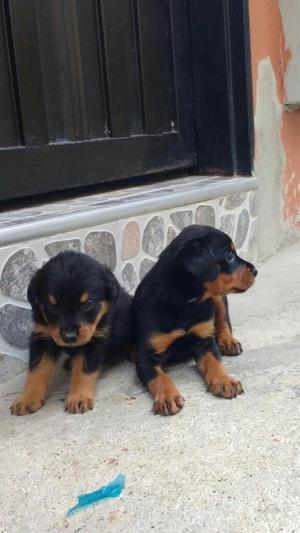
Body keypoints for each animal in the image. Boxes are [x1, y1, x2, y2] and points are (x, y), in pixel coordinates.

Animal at [10, 250, 131, 416]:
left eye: (88, 304)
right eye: (52, 306)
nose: (69, 337)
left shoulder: (94, 341)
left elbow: (83, 372)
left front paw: (78, 398)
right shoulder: (42, 337)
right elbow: (36, 371)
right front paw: (27, 399)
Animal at [133, 224, 258, 416]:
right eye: (229, 256)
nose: (256, 271)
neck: (185, 301)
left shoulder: (204, 340)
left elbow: (215, 362)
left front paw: (225, 380)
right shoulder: (146, 357)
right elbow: (160, 377)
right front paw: (168, 397)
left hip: (218, 297)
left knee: (223, 319)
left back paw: (228, 341)